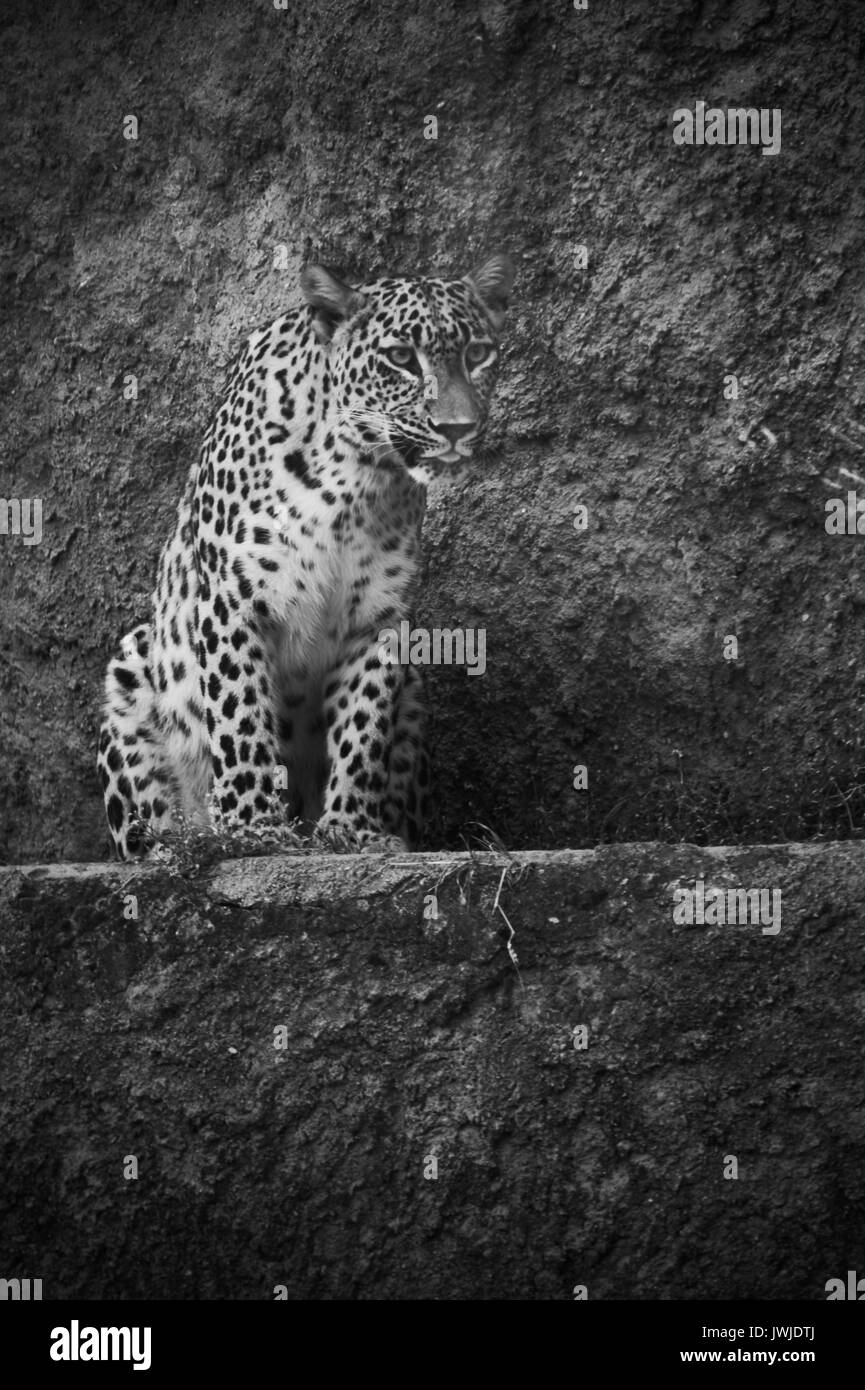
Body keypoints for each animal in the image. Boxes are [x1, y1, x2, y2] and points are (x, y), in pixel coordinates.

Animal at [97, 252, 514, 859]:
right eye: (401, 358)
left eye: (477, 354)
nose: (458, 429)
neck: (357, 478)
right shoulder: (232, 602)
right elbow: (241, 714)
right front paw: (252, 828)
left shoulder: (377, 619)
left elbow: (363, 728)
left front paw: (350, 829)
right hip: (133, 662)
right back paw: (184, 841)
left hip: (415, 683)